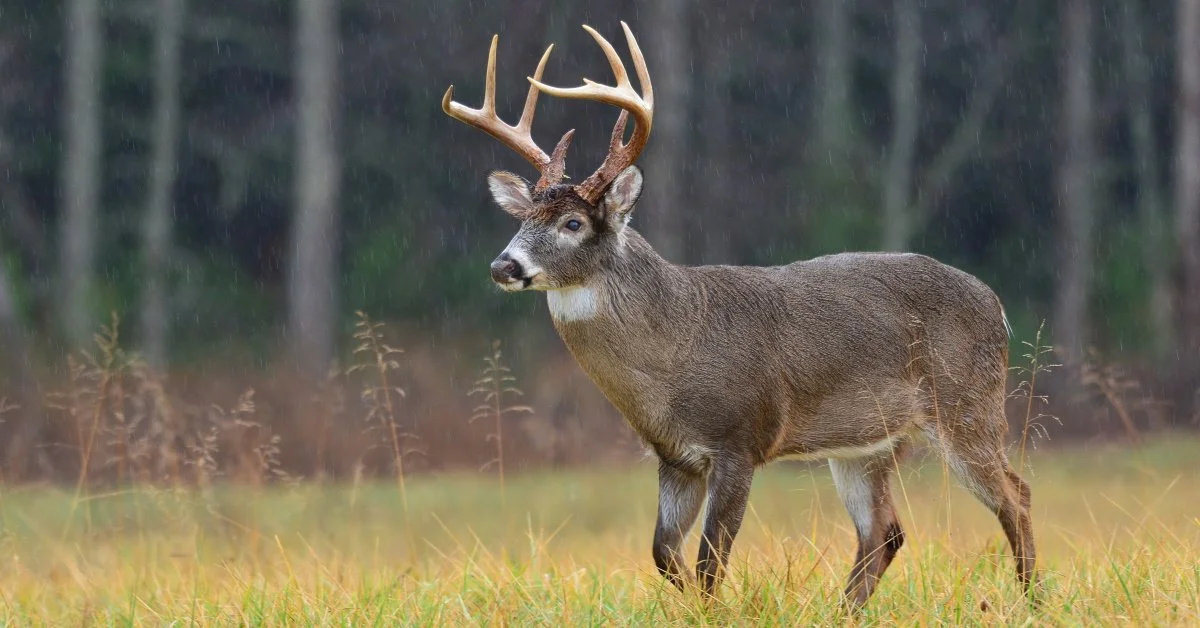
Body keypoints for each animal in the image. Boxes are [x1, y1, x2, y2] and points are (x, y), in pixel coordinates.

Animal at [442, 22, 1037, 609]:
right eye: (524, 219)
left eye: (572, 223)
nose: (504, 264)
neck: (674, 351)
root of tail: (997, 305)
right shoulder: (675, 458)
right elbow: (664, 553)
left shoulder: (740, 439)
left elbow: (710, 560)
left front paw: (711, 611)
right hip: (868, 441)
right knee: (884, 530)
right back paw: (842, 613)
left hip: (965, 402)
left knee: (1016, 494)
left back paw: (1031, 599)